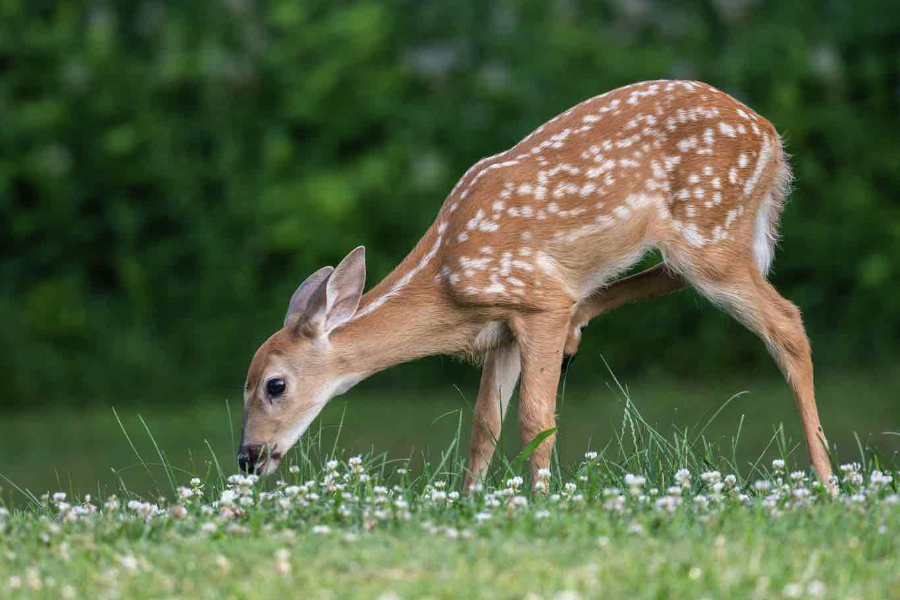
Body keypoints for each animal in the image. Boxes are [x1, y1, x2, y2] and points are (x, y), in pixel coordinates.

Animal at [237, 81, 828, 488]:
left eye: (274, 385)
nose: (247, 457)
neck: (446, 280)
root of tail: (773, 139)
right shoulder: (500, 332)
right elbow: (483, 426)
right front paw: (471, 499)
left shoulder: (535, 299)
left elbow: (534, 419)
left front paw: (540, 501)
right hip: (700, 240)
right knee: (667, 278)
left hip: (712, 229)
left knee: (787, 322)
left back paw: (824, 480)